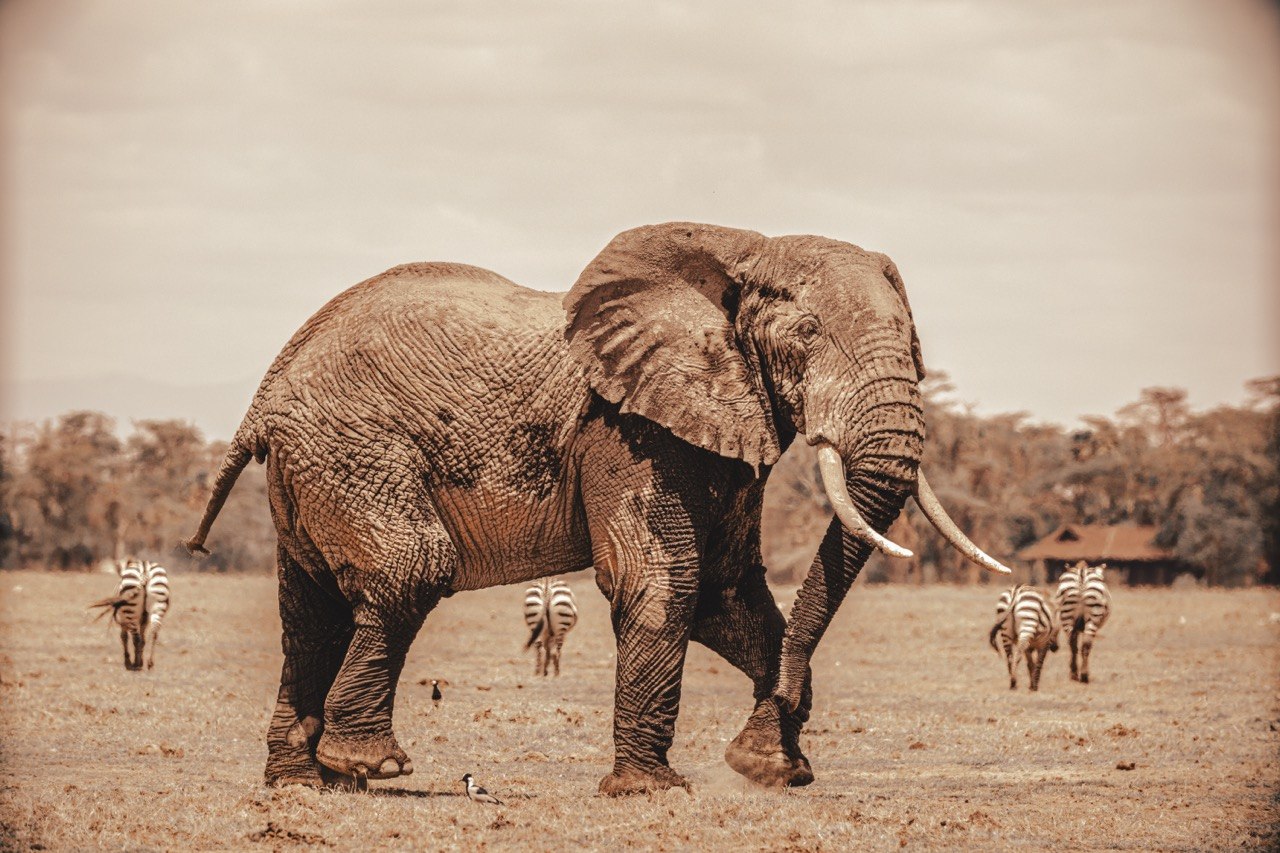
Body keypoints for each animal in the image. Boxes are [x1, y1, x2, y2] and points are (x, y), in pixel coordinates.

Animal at [186, 221, 1009, 795]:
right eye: (807, 335)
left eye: (915, 342)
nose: (756, 752)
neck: (743, 249)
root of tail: (268, 388)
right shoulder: (623, 425)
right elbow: (664, 580)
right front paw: (656, 790)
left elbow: (728, 594)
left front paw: (771, 769)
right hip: (356, 449)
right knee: (408, 571)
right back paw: (371, 766)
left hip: (311, 470)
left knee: (310, 611)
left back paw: (305, 784)